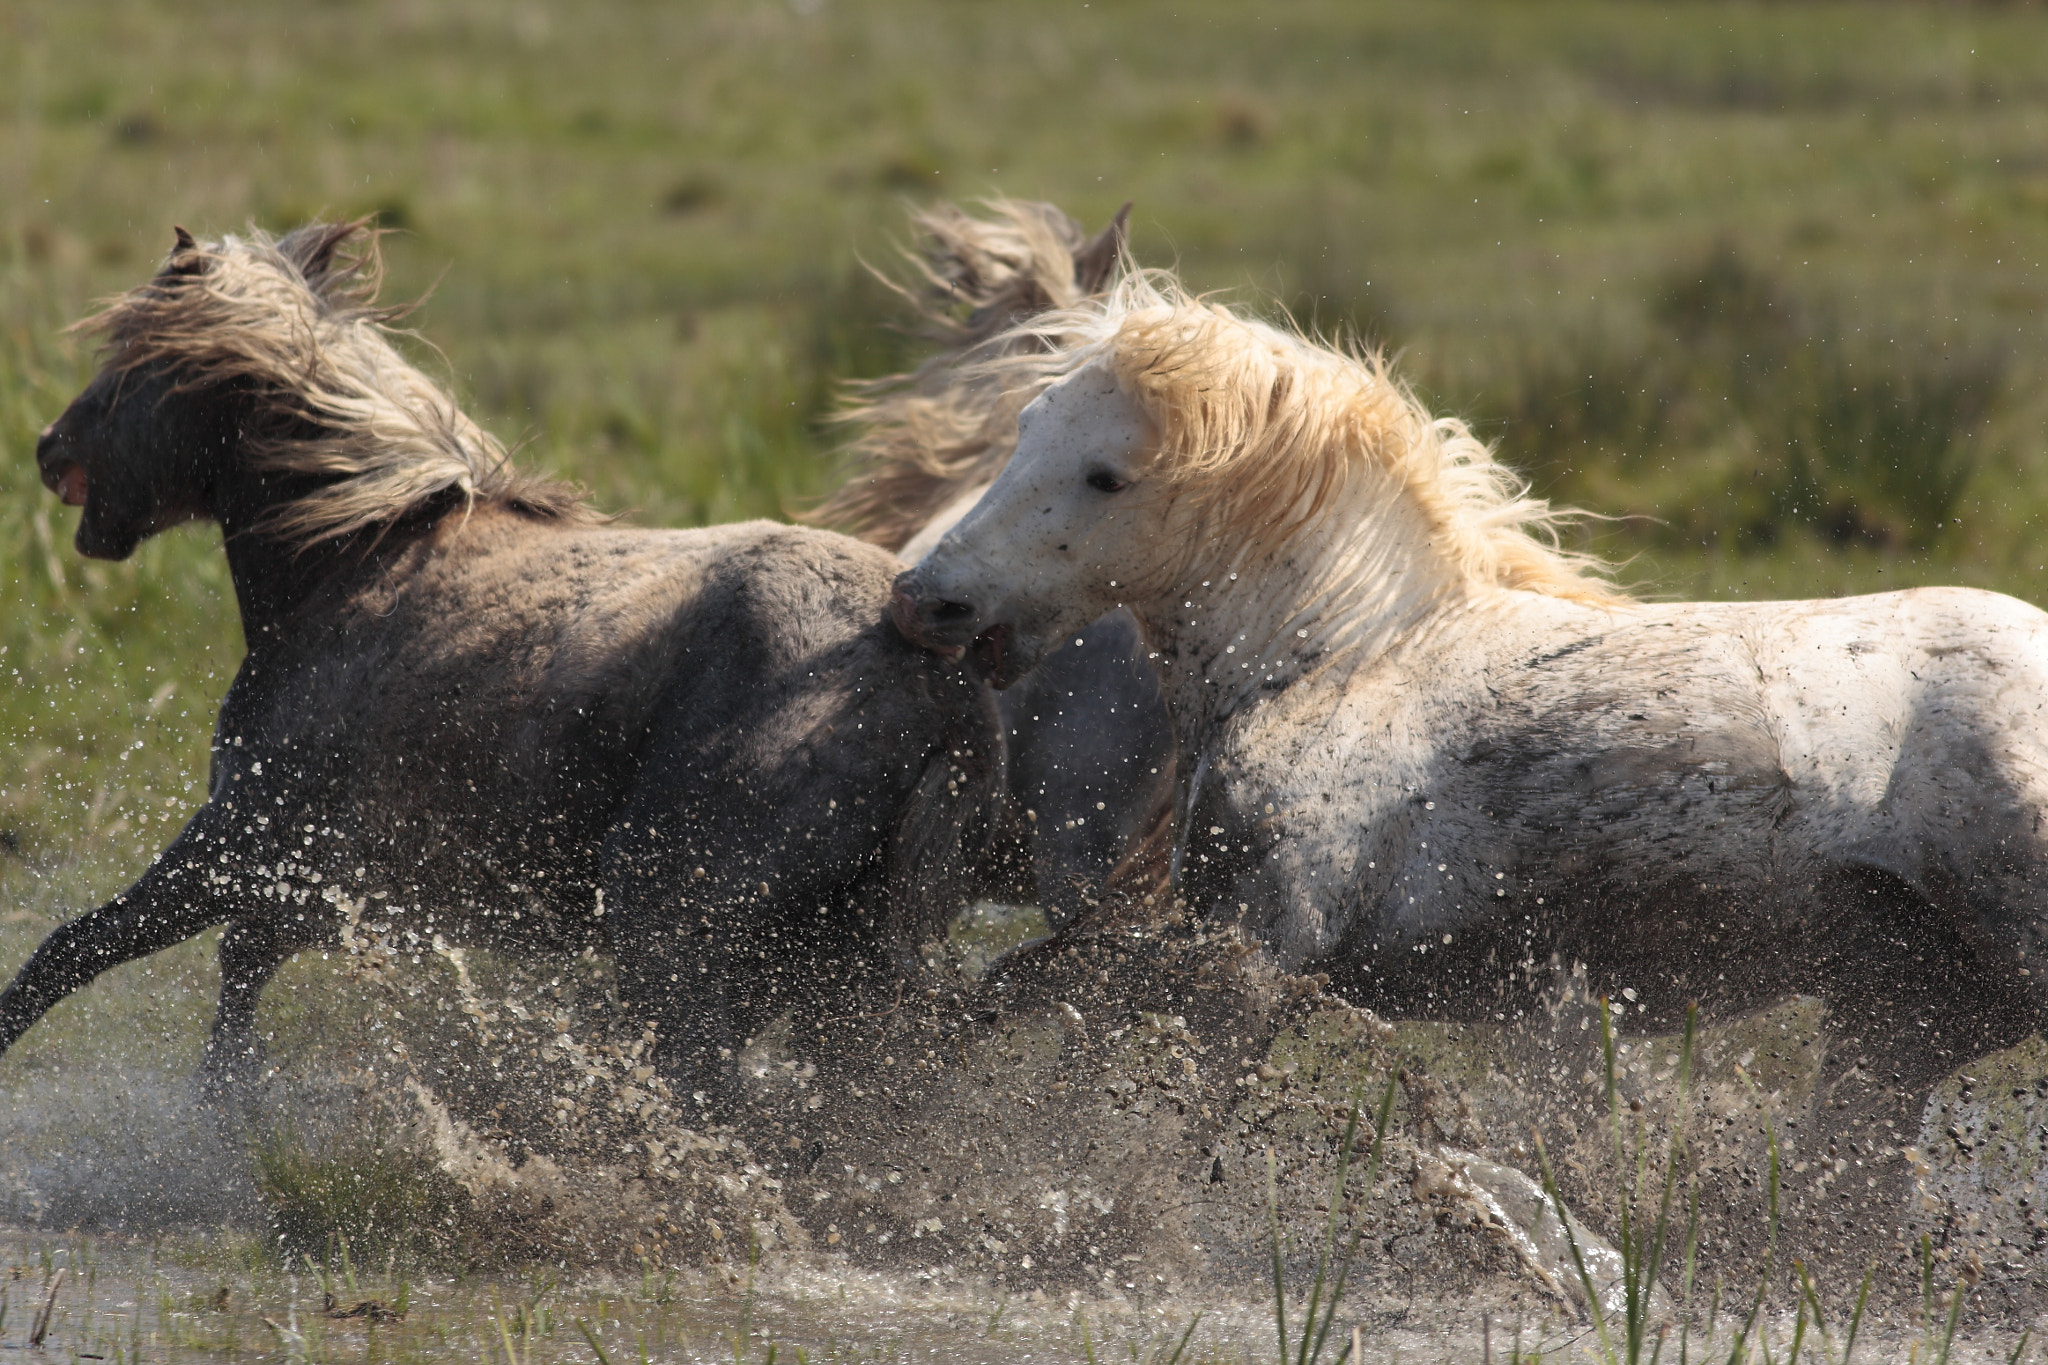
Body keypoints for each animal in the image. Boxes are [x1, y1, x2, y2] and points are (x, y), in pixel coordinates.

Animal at [2, 222, 1007, 1113]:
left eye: (133, 358)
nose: (50, 449)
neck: (357, 562)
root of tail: (935, 674)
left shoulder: (239, 843)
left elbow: (74, 950)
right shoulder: (324, 882)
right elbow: (234, 978)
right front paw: (219, 1115)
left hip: (675, 931)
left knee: (721, 1102)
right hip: (828, 959)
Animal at [892, 266, 2048, 1260]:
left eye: (1106, 477)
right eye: (1022, 431)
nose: (923, 598)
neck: (1337, 661)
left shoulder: (1254, 955)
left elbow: (1132, 1096)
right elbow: (1032, 1000)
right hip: (1900, 1019)